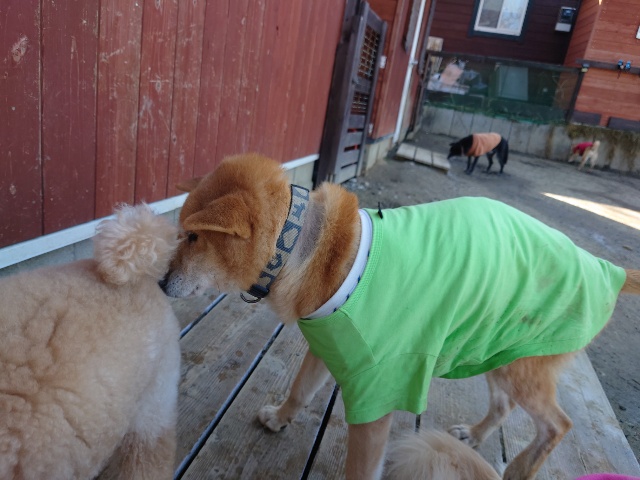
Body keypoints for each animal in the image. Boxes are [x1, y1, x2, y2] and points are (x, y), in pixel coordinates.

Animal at [161, 154, 640, 480]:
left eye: (193, 237)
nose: (161, 283)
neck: (305, 247)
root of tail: (602, 266)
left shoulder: (377, 394)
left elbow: (361, 468)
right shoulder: (326, 348)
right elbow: (299, 391)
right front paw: (279, 418)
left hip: (523, 367)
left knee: (558, 424)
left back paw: (519, 468)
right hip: (496, 350)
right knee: (504, 405)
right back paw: (475, 435)